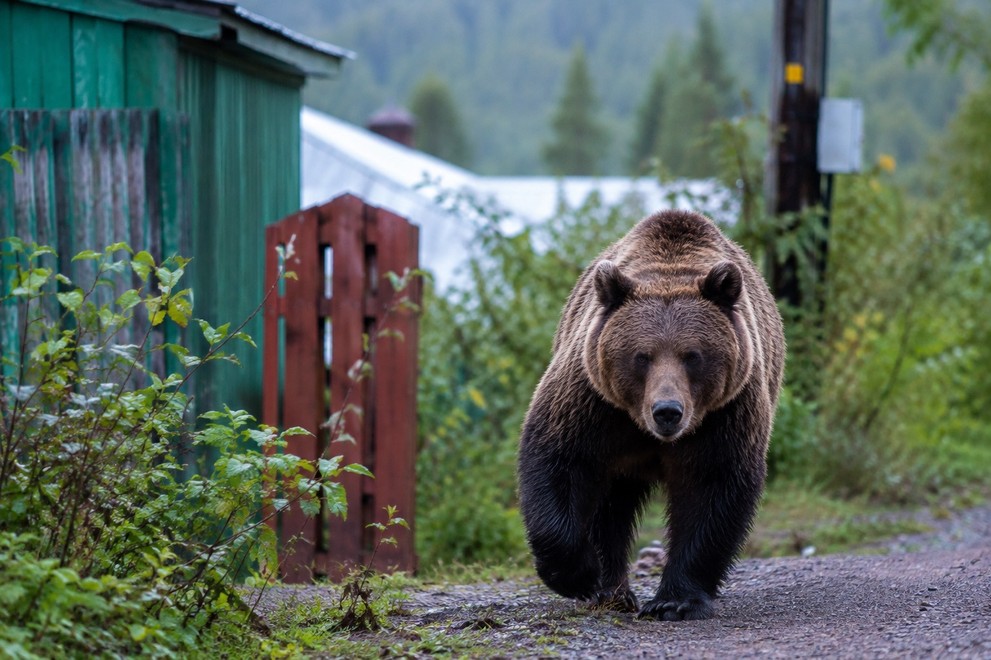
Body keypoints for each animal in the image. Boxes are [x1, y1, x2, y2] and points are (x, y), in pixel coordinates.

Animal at [517, 209, 785, 621]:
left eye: (693, 355)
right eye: (642, 356)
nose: (667, 412)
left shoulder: (726, 413)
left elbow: (713, 487)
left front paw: (674, 601)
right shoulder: (593, 401)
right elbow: (557, 459)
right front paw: (579, 575)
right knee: (610, 507)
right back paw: (611, 591)